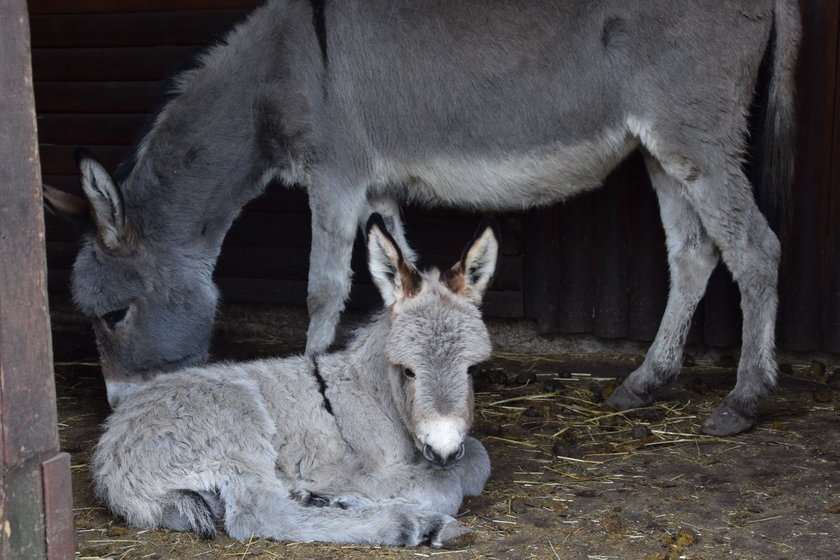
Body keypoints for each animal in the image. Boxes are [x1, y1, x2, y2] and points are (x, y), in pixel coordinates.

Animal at [93, 215, 498, 548]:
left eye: (472, 370)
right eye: (408, 371)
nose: (443, 449)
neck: (374, 393)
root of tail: (112, 460)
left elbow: (478, 458)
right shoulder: (343, 468)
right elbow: (447, 486)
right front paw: (351, 497)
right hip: (236, 423)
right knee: (258, 515)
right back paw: (411, 525)